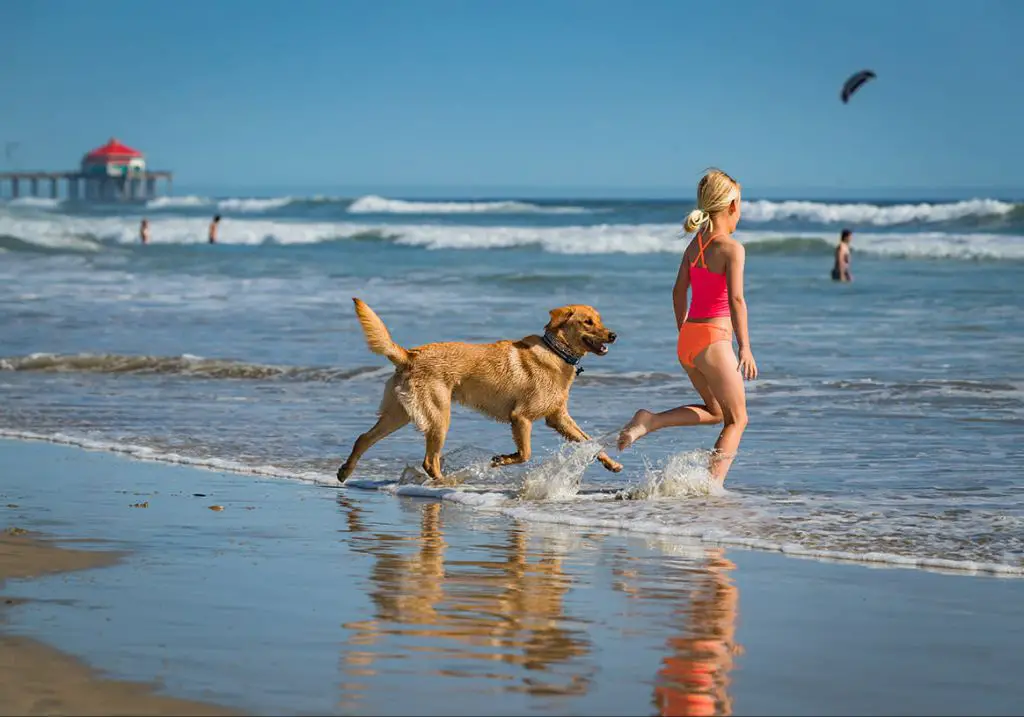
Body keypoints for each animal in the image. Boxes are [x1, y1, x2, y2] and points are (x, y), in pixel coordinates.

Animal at [339, 299, 618, 485]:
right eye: (588, 322)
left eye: (600, 320)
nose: (613, 335)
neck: (556, 352)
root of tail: (410, 356)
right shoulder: (521, 417)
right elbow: (525, 454)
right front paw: (502, 460)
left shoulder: (558, 418)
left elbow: (591, 442)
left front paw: (612, 463)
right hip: (439, 417)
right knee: (430, 460)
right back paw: (445, 484)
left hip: (400, 414)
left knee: (363, 438)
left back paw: (345, 471)